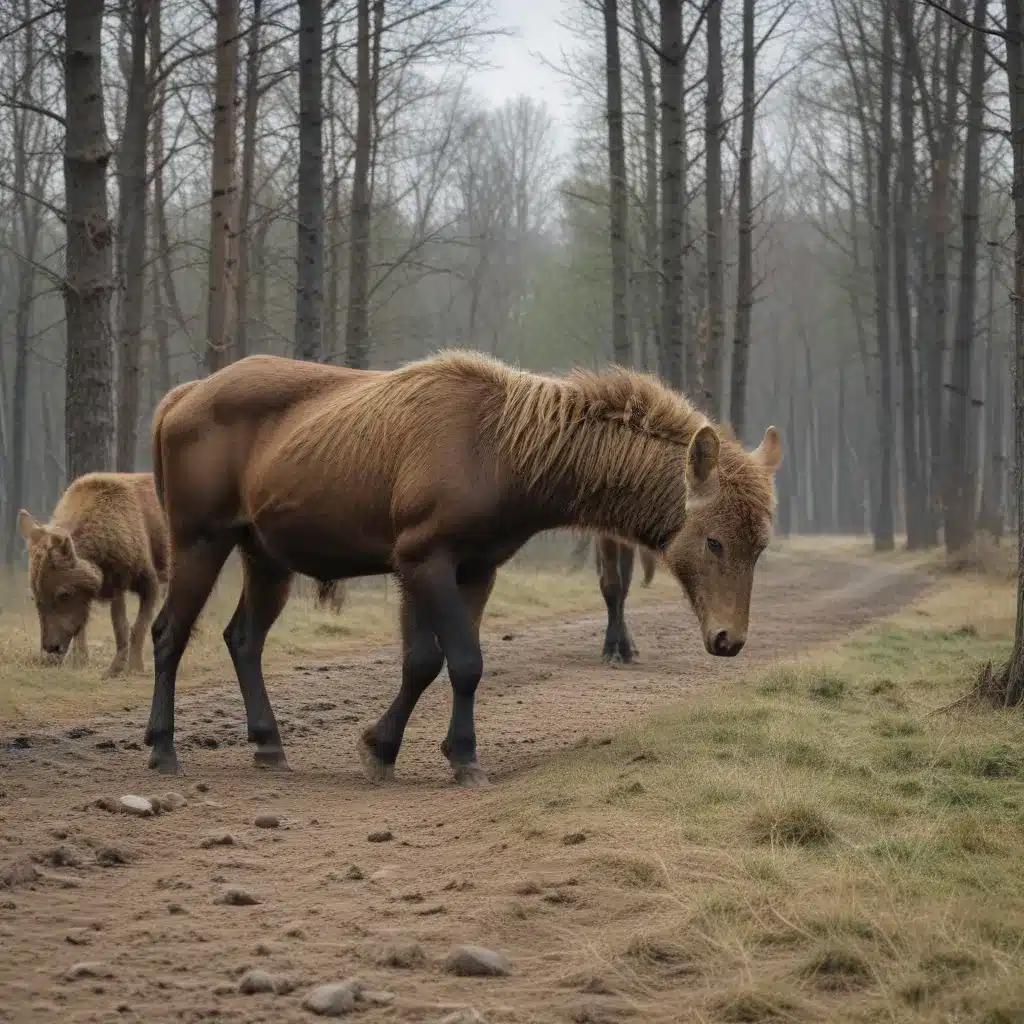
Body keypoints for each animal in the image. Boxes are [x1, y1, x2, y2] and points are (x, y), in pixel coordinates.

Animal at [144, 350, 778, 782]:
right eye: (715, 541)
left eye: (760, 545)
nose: (728, 638)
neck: (506, 455)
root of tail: (178, 399)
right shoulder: (424, 560)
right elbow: (458, 661)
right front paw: (454, 755)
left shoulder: (476, 568)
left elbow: (429, 664)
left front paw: (395, 747)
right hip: (199, 540)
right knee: (168, 633)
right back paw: (163, 747)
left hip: (265, 556)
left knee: (242, 639)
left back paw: (268, 743)